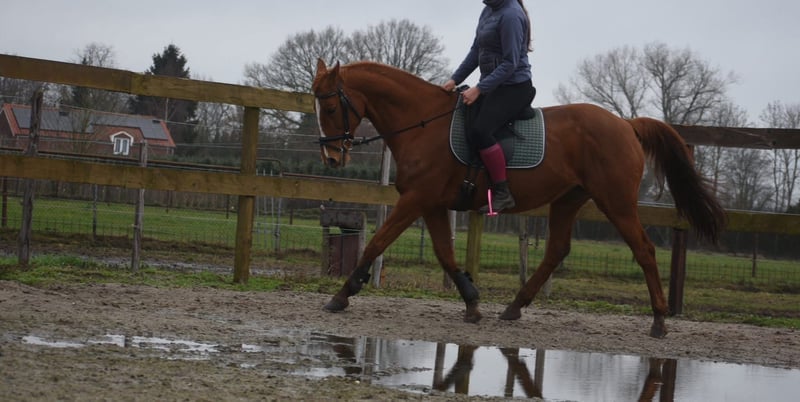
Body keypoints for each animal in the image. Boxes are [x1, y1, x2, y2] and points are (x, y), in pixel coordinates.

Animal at [311, 58, 726, 338]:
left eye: (330, 107)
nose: (331, 157)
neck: (423, 124)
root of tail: (625, 124)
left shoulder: (416, 199)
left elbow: (377, 242)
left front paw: (343, 294)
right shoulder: (431, 204)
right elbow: (445, 253)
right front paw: (472, 301)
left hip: (616, 202)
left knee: (644, 249)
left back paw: (658, 320)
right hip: (568, 200)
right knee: (557, 249)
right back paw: (514, 306)